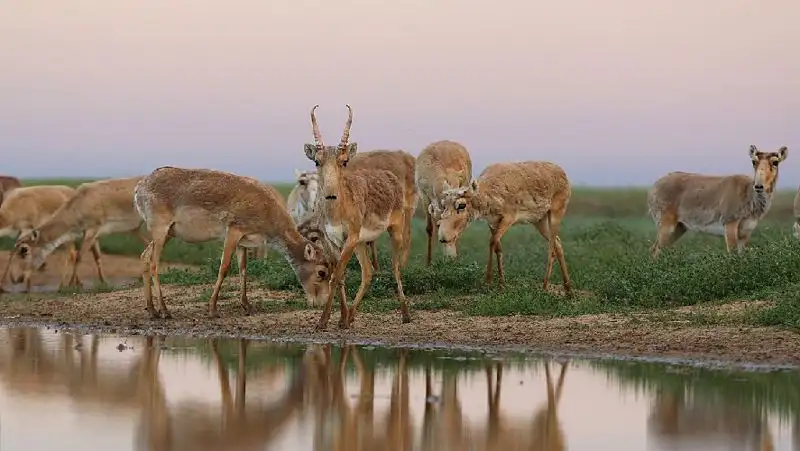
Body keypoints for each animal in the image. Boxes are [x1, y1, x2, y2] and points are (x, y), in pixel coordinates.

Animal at [12, 177, 148, 290]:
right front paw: (103, 282)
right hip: (136, 229)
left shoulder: (92, 229)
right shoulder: (93, 234)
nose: (17, 279)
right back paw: (141, 277)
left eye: (24, 250)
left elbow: (79, 257)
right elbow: (96, 256)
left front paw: (70, 285)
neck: (78, 206)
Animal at [302, 106, 410, 332]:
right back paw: (350, 316)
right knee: (368, 272)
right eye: (317, 161)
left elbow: (335, 277)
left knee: (395, 268)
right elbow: (339, 275)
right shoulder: (332, 240)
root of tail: (390, 176)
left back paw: (406, 315)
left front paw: (322, 322)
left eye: (344, 161)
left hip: (394, 231)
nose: (331, 195)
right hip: (361, 243)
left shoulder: (350, 238)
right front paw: (340, 319)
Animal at [434, 162, 572, 296]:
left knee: (551, 247)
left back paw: (545, 286)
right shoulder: (493, 222)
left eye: (462, 205)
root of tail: (564, 174)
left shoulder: (508, 218)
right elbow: (497, 247)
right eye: (443, 204)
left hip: (556, 211)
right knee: (557, 243)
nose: (443, 237)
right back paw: (568, 288)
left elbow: (492, 242)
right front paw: (501, 284)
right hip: (539, 220)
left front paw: (488, 281)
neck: (490, 195)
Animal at [648, 146, 788, 258]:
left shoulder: (746, 231)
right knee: (655, 250)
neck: (748, 195)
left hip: (680, 227)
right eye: (754, 161)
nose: (759, 186)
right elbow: (732, 253)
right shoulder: (729, 224)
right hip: (665, 225)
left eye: (775, 162)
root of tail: (654, 187)